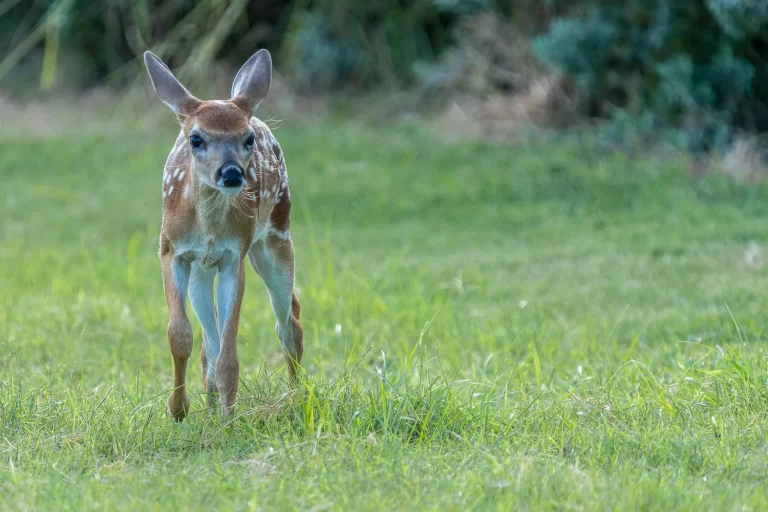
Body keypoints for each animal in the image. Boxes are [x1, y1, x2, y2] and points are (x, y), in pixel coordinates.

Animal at [142, 49, 304, 421]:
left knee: (289, 321)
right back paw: (211, 405)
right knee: (208, 343)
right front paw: (178, 409)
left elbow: (230, 352)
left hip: (277, 235)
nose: (231, 173)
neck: (209, 230)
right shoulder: (170, 250)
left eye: (247, 139)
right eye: (196, 139)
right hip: (202, 270)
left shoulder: (235, 256)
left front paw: (230, 419)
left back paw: (297, 397)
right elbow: (180, 336)